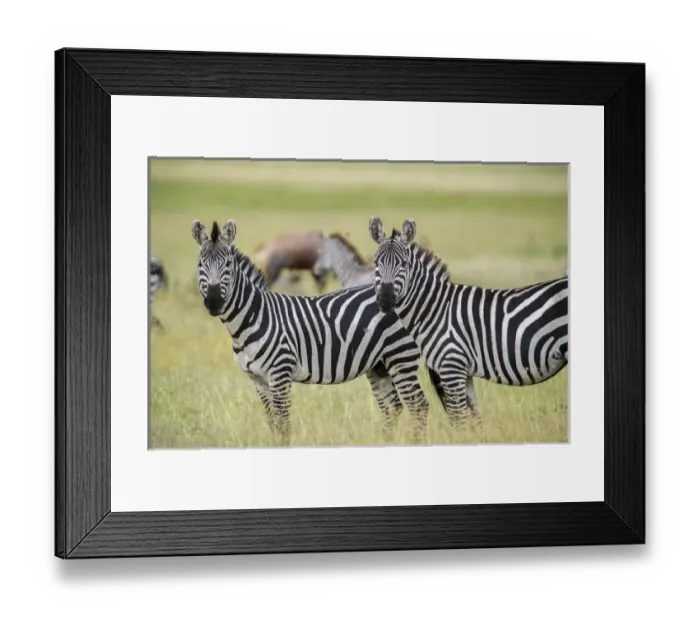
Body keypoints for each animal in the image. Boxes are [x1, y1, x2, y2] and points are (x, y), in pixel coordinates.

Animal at [192, 219, 430, 446]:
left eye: (228, 264)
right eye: (200, 264)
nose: (213, 302)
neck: (253, 319)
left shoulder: (280, 374)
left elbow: (283, 423)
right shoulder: (258, 380)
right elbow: (273, 423)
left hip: (401, 357)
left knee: (419, 405)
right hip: (379, 365)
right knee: (394, 407)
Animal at [368, 217, 568, 428]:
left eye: (404, 264)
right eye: (376, 262)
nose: (385, 300)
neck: (436, 309)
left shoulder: (451, 367)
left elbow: (460, 421)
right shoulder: (464, 371)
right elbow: (474, 420)